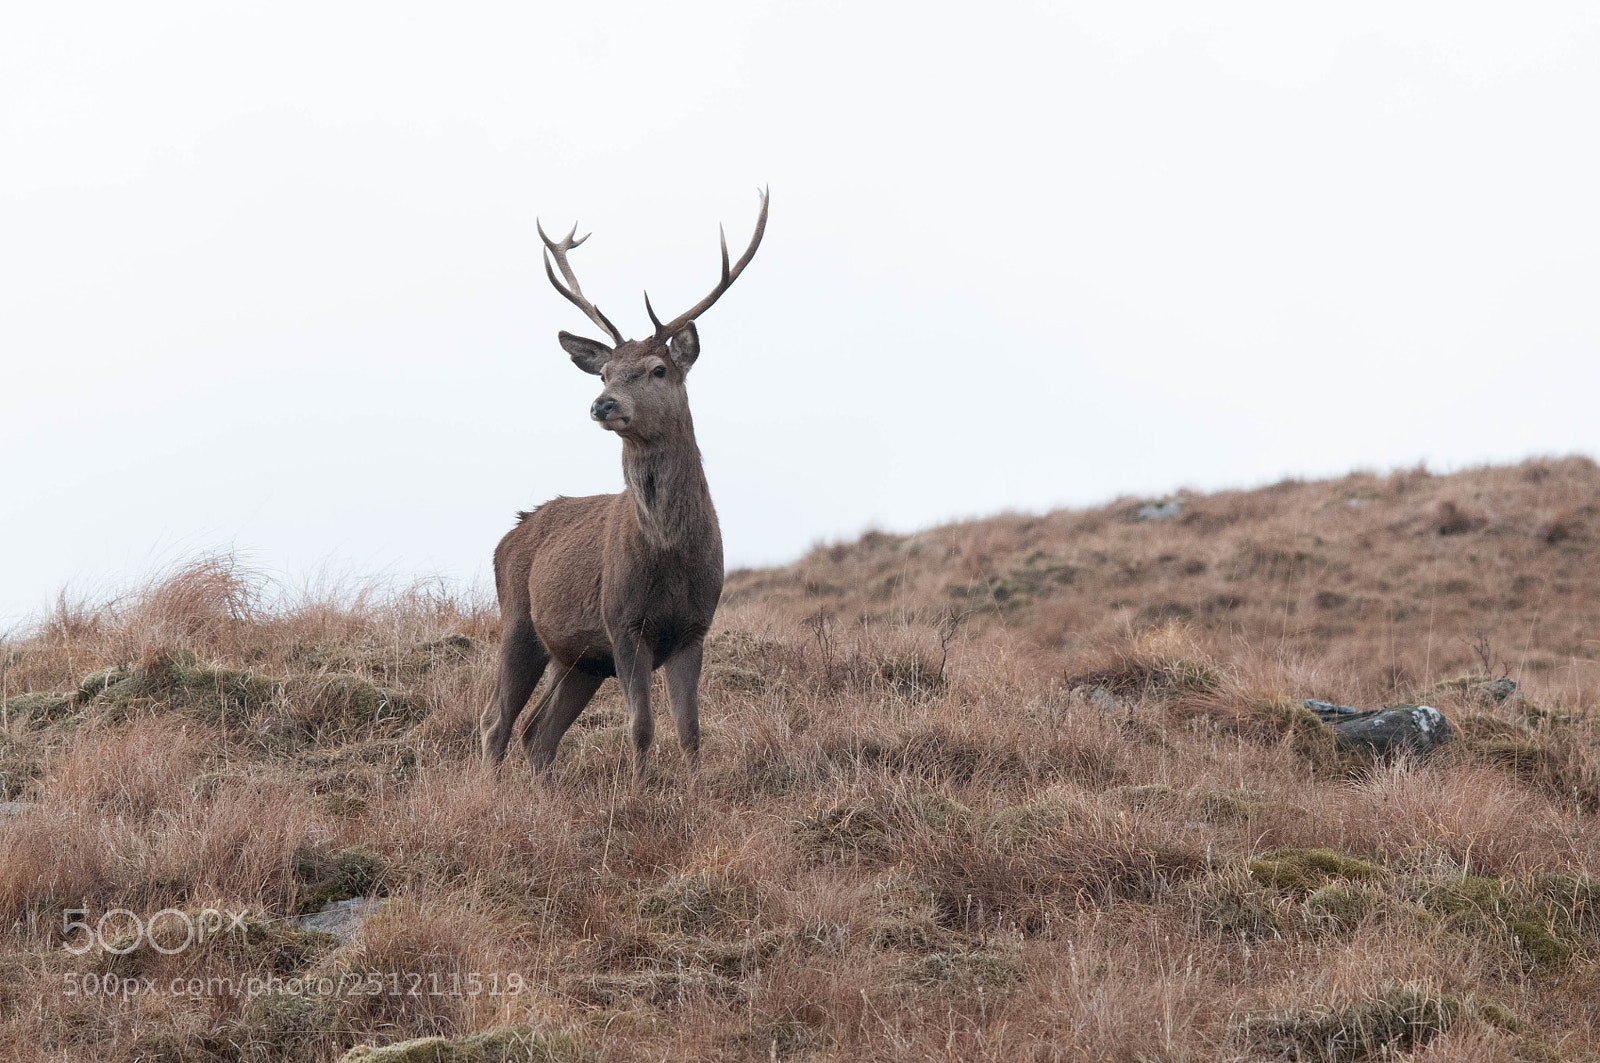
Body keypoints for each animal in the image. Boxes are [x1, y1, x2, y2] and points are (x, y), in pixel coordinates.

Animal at [481, 189, 769, 781]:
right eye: (604, 372)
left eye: (658, 368)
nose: (603, 404)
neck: (670, 555)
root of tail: (510, 534)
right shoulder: (623, 623)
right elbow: (642, 726)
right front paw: (640, 791)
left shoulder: (693, 628)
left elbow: (690, 729)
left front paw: (693, 790)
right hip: (518, 620)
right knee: (496, 722)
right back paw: (489, 791)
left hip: (579, 660)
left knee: (537, 732)